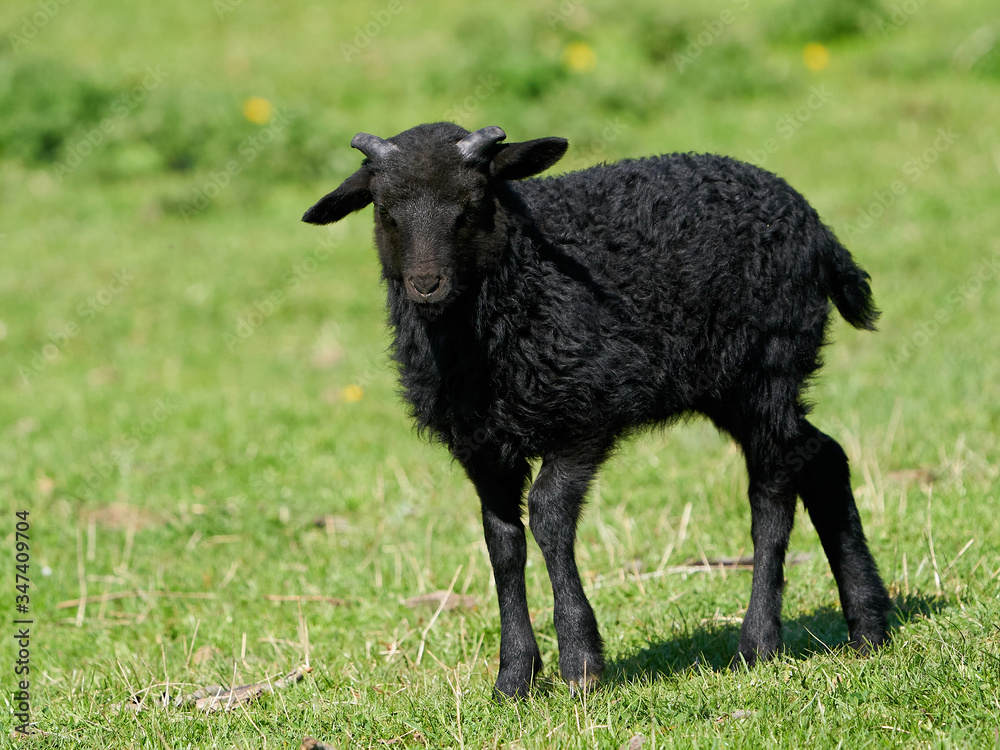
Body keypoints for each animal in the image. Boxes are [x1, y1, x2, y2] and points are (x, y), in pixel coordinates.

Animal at [302, 122, 891, 699]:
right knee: (822, 456)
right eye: (384, 209)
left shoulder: (582, 416)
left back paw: (759, 642)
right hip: (730, 388)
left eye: (472, 205)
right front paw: (513, 678)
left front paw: (580, 663)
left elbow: (548, 517)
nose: (426, 285)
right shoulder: (483, 445)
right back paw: (869, 626)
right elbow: (502, 541)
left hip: (768, 367)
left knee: (771, 491)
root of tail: (818, 230)